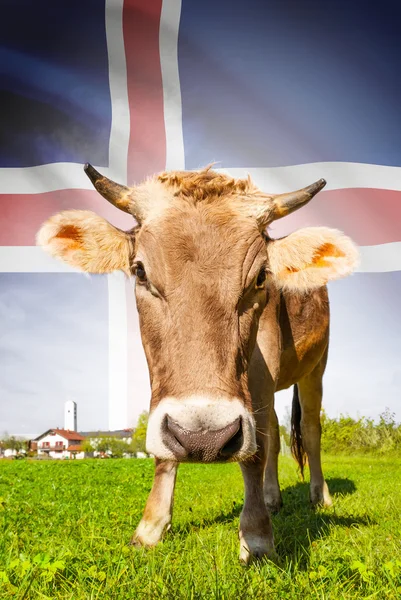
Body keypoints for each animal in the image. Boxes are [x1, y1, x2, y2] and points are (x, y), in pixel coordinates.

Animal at [36, 164, 356, 564]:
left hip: (316, 367)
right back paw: (272, 497)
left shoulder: (263, 362)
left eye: (261, 277)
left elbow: (255, 451)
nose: (204, 438)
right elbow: (166, 448)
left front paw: (257, 536)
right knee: (272, 429)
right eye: (140, 271)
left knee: (310, 431)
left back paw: (319, 496)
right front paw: (150, 527)